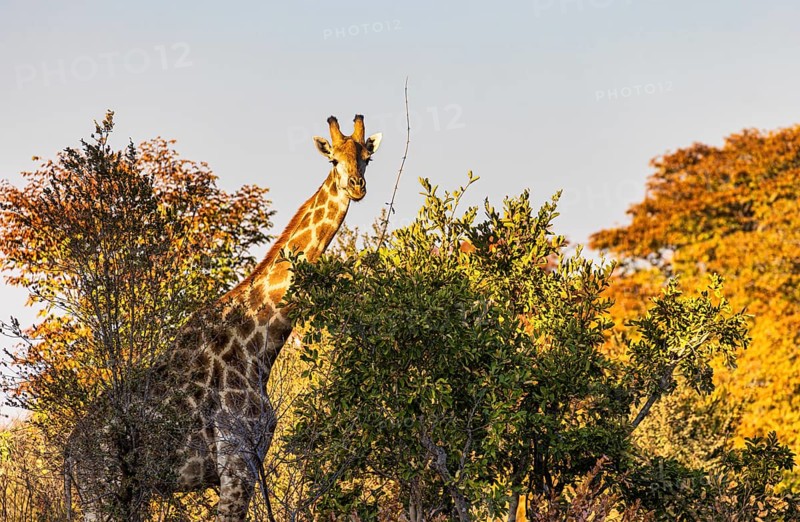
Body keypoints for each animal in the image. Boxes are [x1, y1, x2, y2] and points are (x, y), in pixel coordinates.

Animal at [70, 115, 382, 521]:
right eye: (333, 160)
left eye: (366, 159)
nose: (356, 187)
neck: (261, 342)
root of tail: (70, 453)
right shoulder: (236, 462)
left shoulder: (250, 460)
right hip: (104, 490)